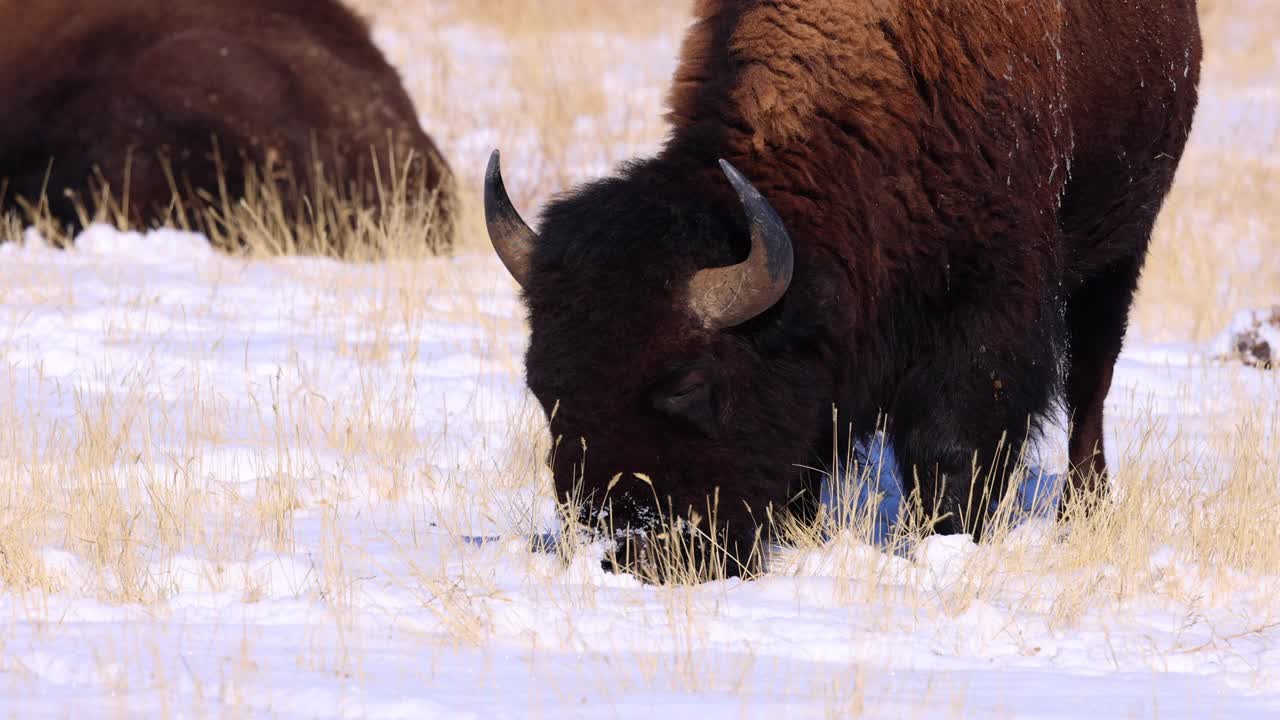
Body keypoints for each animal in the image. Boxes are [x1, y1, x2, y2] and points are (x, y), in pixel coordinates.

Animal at [486, 0, 1198, 573]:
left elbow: (951, 443)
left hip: (1120, 251)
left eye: (686, 384)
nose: (624, 552)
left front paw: (945, 542)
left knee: (1089, 387)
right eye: (542, 387)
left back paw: (1084, 509)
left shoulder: (986, 311)